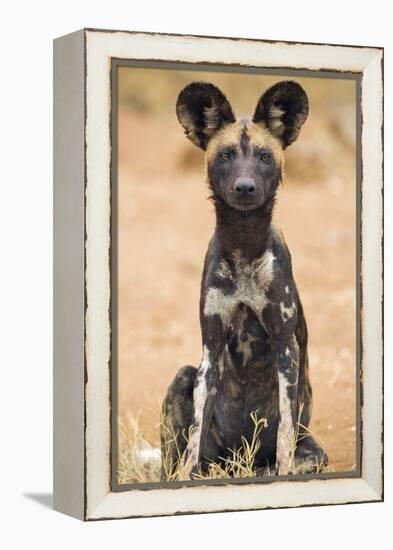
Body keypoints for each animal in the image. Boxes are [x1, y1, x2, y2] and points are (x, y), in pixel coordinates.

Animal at [160, 81, 328, 478]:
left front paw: (282, 472)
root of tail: (239, 464)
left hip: (314, 452)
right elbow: (192, 443)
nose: (246, 187)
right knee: (178, 461)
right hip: (185, 378)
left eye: (265, 156)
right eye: (226, 155)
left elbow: (284, 435)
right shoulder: (210, 349)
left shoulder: (286, 348)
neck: (244, 247)